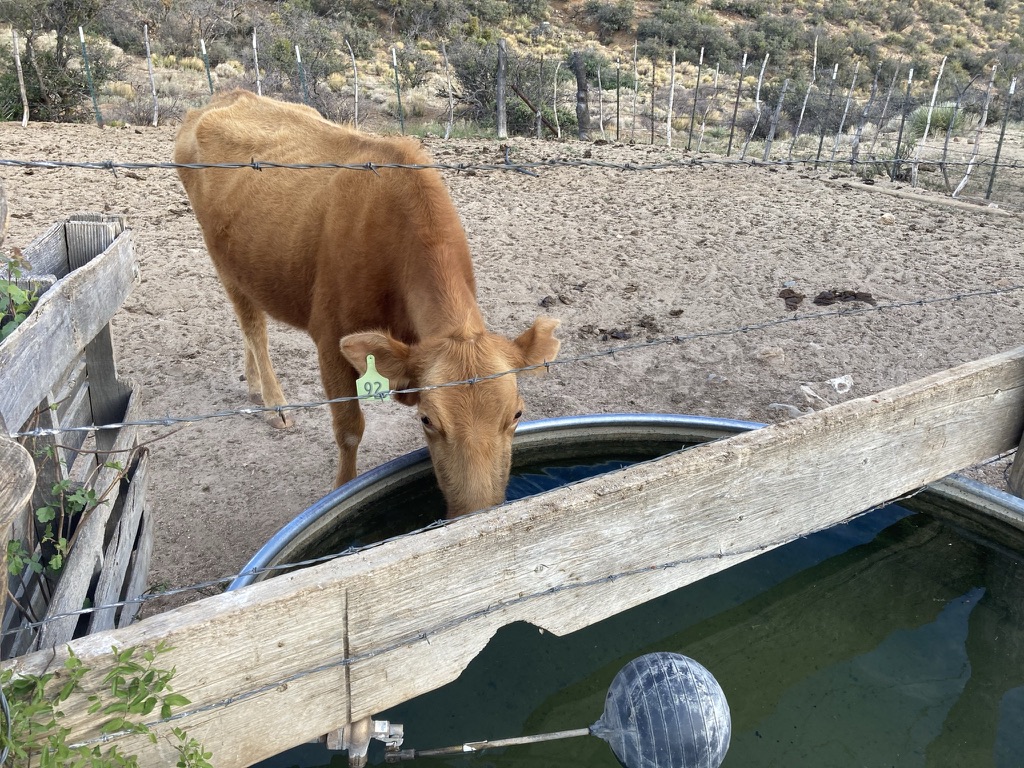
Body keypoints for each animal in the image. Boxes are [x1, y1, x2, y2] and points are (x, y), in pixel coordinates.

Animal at [173, 90, 560, 518]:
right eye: (428, 420)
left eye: (518, 414)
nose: (476, 512)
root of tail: (228, 97)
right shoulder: (330, 340)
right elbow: (349, 429)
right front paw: (343, 488)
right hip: (223, 261)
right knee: (252, 326)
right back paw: (274, 403)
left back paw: (255, 387)